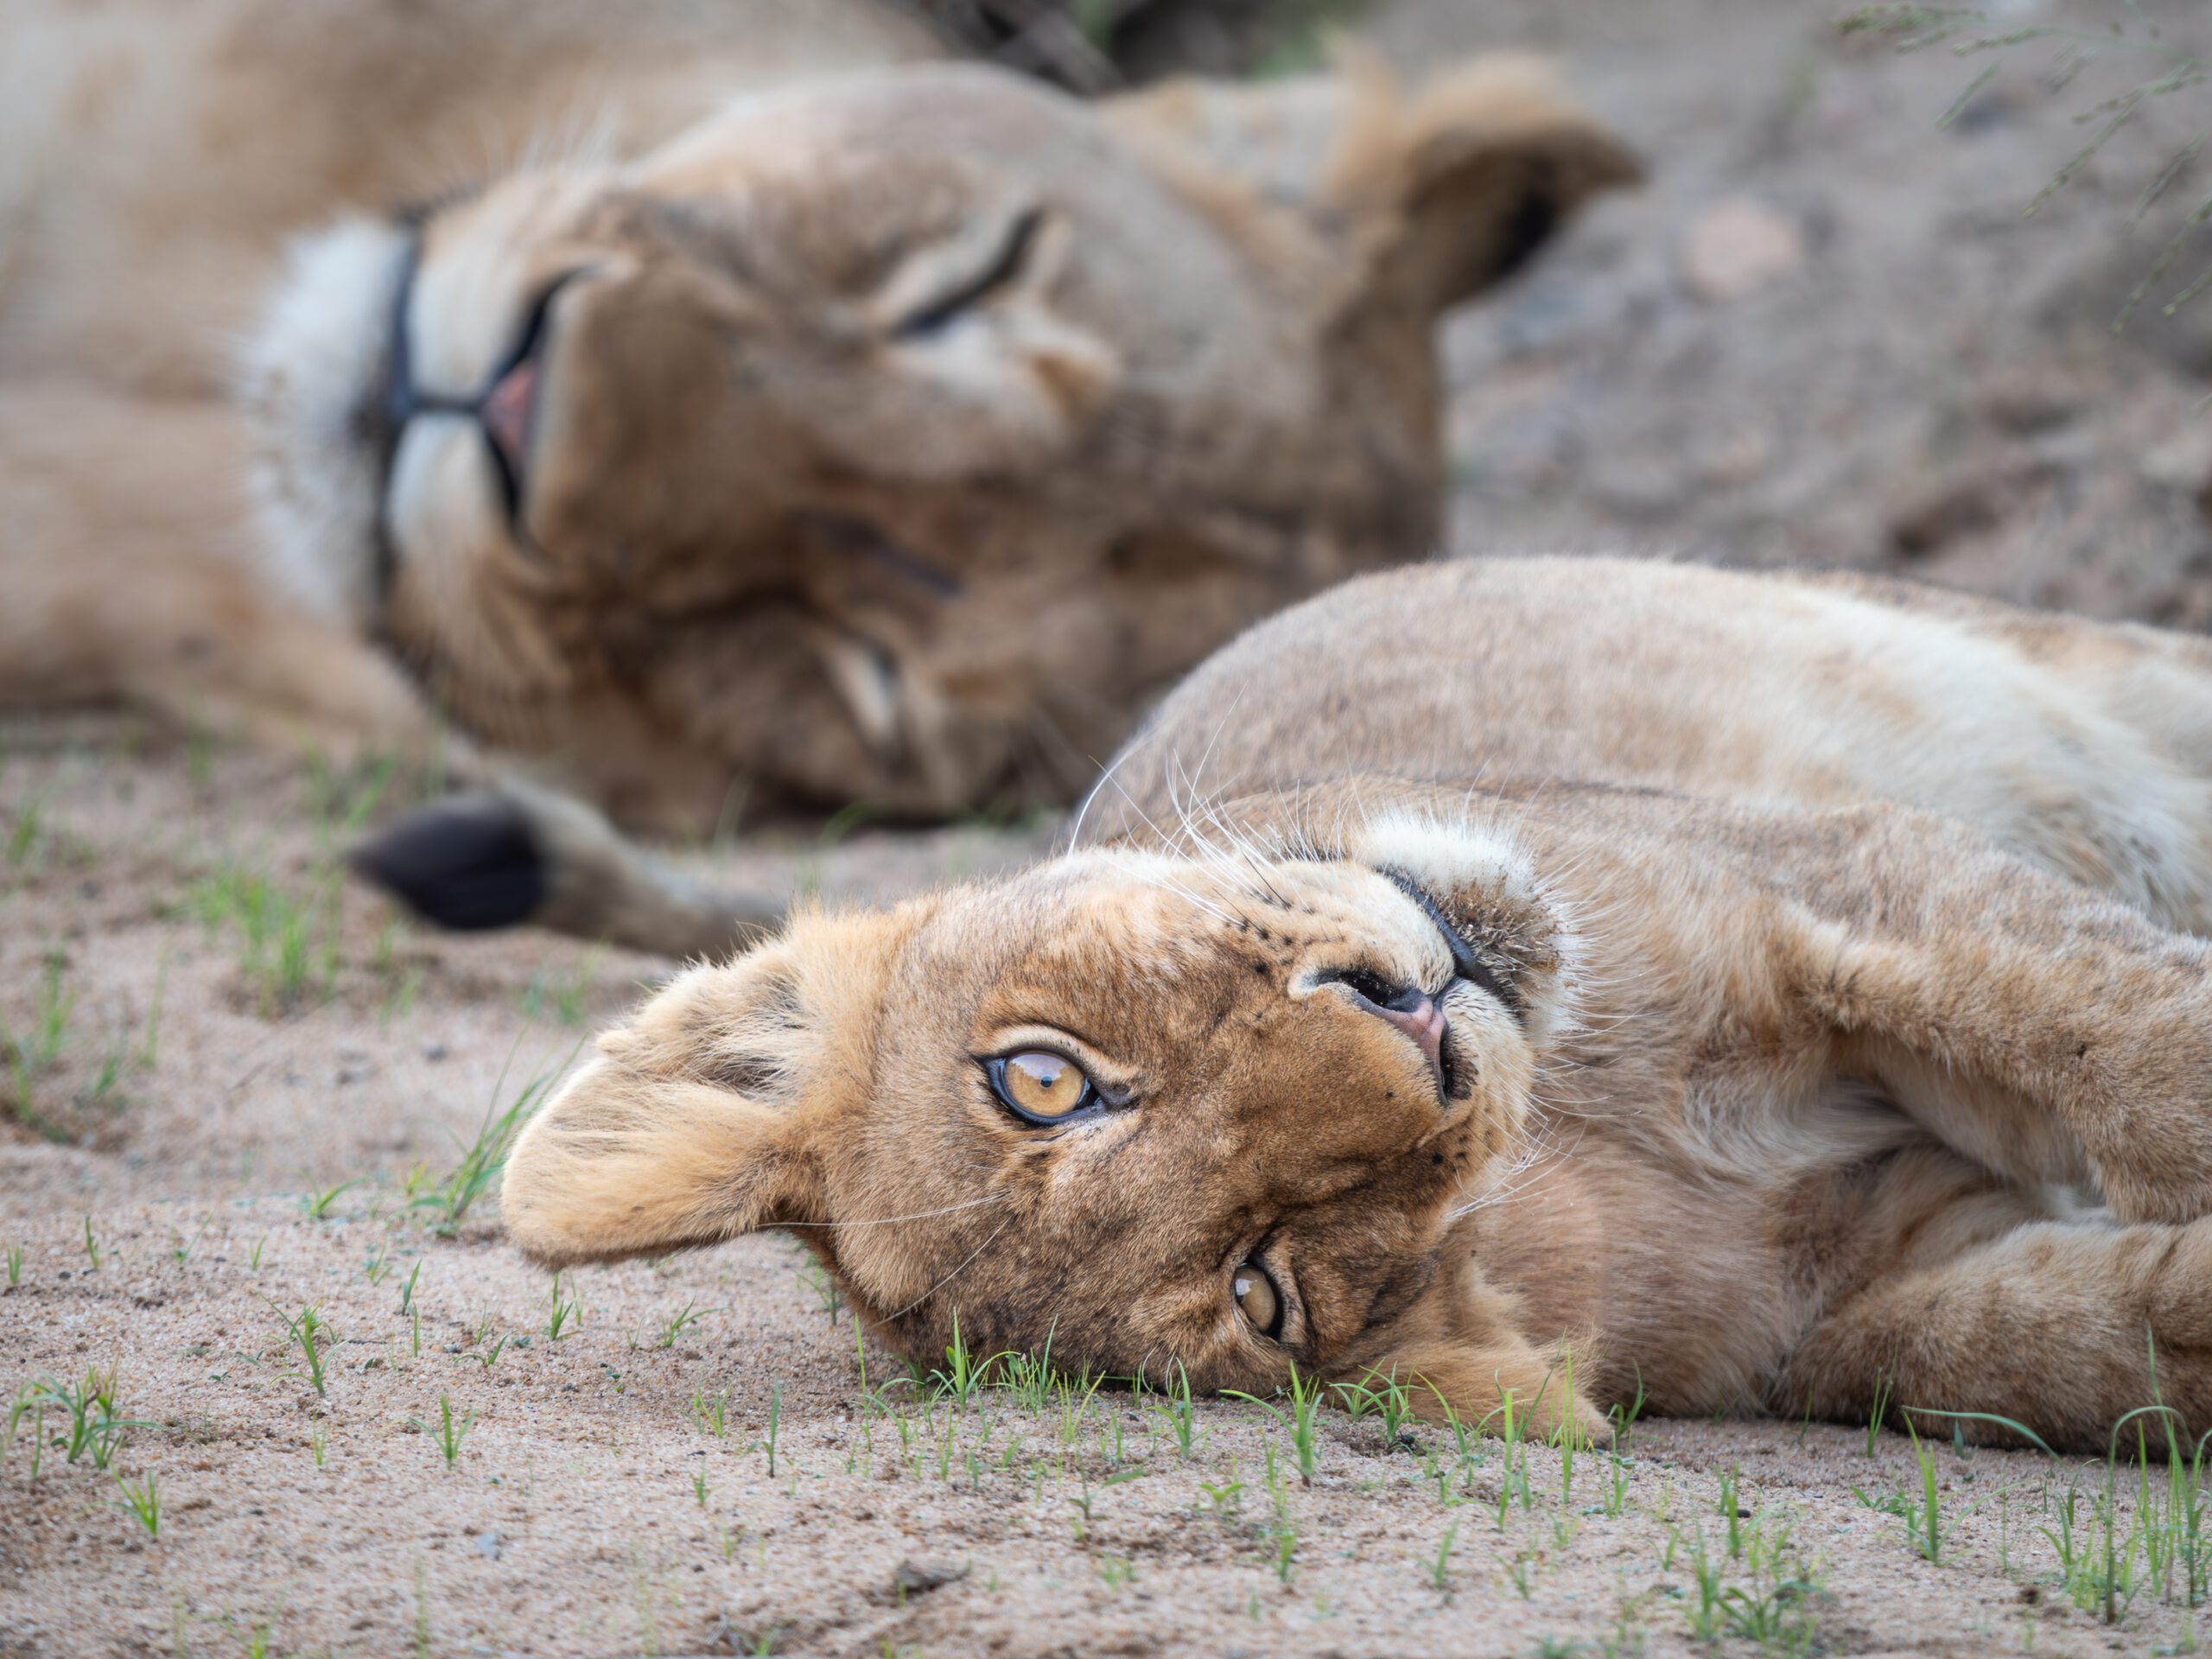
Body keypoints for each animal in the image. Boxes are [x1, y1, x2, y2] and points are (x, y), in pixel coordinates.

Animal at [490, 557, 2212, 1451]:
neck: (1592, 1130)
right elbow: (2102, 1332)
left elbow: (2142, 1052)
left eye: (1043, 1077)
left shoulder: (1843, 884)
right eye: (1267, 1285)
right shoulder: (1879, 1293)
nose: (1421, 1020)